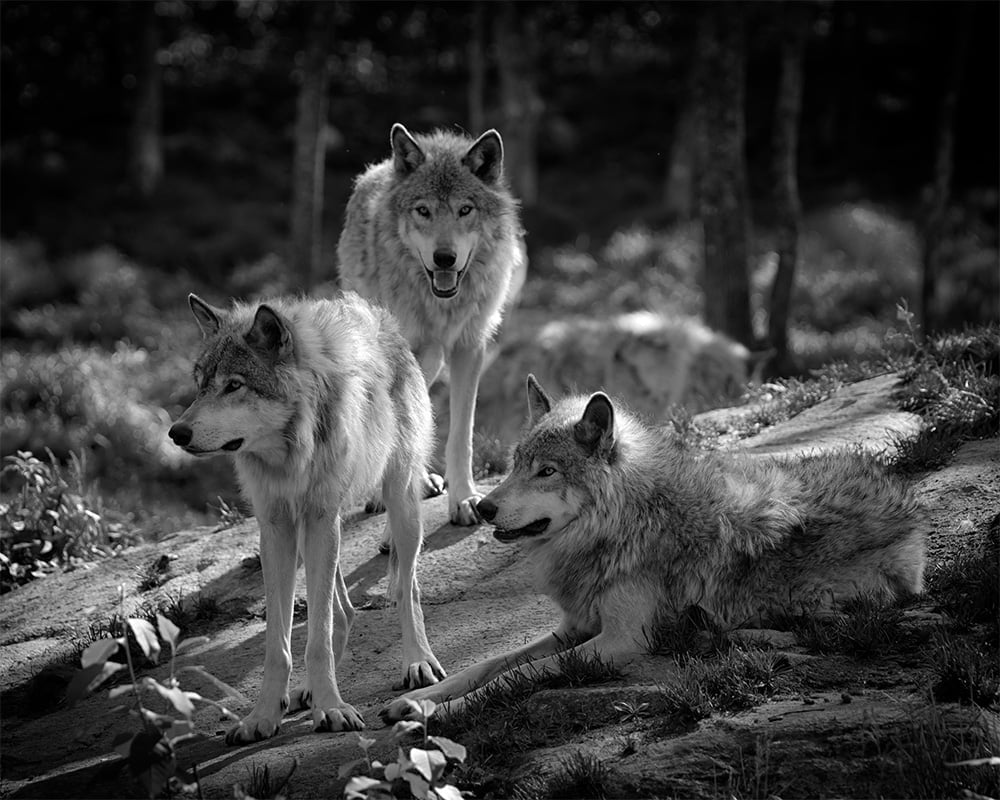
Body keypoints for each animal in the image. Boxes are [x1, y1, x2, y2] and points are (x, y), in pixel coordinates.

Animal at [168, 292, 444, 743]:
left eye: (234, 385)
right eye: (201, 384)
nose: (176, 433)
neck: (290, 454)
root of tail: (382, 319)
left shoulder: (320, 519)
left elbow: (318, 638)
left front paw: (331, 708)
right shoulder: (277, 528)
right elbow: (279, 643)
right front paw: (264, 715)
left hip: (399, 504)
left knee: (408, 590)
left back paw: (418, 662)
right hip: (310, 536)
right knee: (345, 612)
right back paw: (306, 691)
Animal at [337, 123, 526, 528]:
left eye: (465, 210)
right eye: (423, 211)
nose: (444, 258)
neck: (443, 304)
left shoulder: (471, 346)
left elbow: (461, 434)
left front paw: (465, 499)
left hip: (436, 356)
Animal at [383, 374, 926, 719]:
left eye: (547, 471)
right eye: (516, 464)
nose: (484, 508)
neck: (624, 522)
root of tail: (907, 501)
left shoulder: (620, 640)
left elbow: (513, 676)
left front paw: (431, 712)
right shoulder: (573, 626)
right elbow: (487, 665)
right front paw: (419, 697)